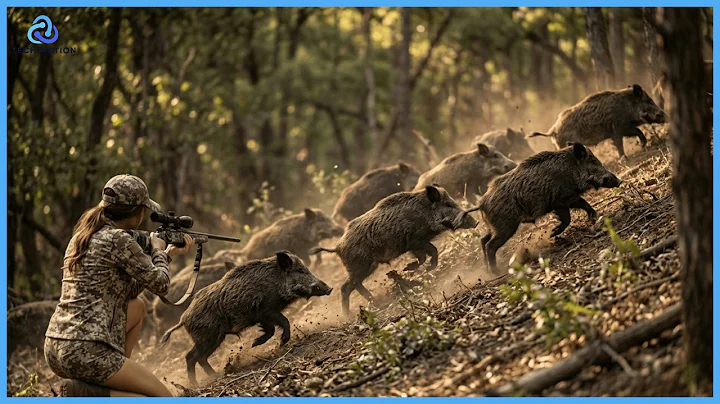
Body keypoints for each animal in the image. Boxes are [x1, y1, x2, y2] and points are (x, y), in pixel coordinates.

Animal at [159, 252, 332, 385]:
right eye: (301, 270)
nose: (329, 288)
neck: (276, 282)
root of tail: (183, 318)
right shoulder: (267, 309)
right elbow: (284, 321)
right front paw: (282, 342)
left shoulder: (261, 316)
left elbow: (270, 330)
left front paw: (254, 343)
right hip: (207, 337)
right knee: (190, 357)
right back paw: (197, 383)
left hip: (214, 338)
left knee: (200, 358)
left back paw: (216, 375)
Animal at [309, 185, 479, 314]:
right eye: (448, 204)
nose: (475, 222)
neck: (424, 214)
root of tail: (337, 247)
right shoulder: (415, 241)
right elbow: (430, 252)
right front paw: (415, 268)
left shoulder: (418, 243)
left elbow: (428, 254)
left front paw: (417, 268)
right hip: (360, 265)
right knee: (346, 287)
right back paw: (351, 314)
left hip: (364, 267)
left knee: (354, 286)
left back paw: (374, 302)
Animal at [454, 143, 622, 275]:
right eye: (593, 161)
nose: (619, 181)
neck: (570, 170)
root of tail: (482, 203)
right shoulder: (560, 201)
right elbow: (567, 218)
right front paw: (553, 233)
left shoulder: (569, 198)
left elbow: (584, 204)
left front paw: (593, 219)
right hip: (505, 226)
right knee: (490, 245)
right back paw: (496, 271)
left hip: (494, 226)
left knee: (483, 240)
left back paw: (488, 270)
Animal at [529, 84, 667, 158]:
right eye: (649, 101)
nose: (665, 116)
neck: (627, 106)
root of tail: (552, 130)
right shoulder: (618, 127)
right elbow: (630, 136)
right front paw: (636, 150)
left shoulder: (618, 130)